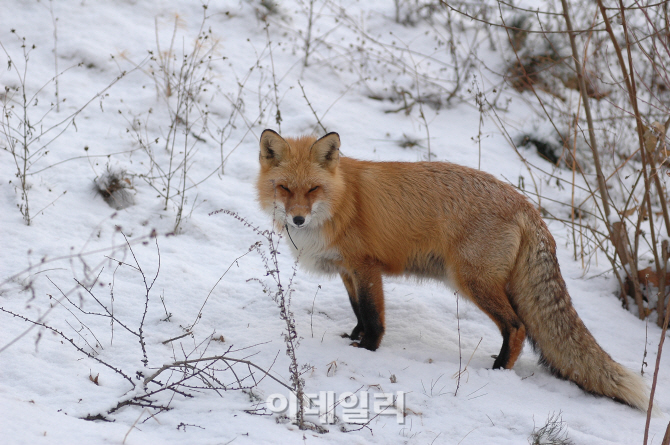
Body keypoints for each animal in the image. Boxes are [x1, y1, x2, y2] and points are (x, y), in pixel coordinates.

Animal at [255, 127, 652, 410]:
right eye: (285, 188)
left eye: (313, 189)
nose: (298, 219)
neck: (340, 201)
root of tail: (528, 207)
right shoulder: (347, 271)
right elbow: (357, 310)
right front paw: (353, 337)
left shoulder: (367, 267)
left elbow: (373, 315)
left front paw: (367, 348)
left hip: (472, 282)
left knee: (517, 327)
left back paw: (497, 372)